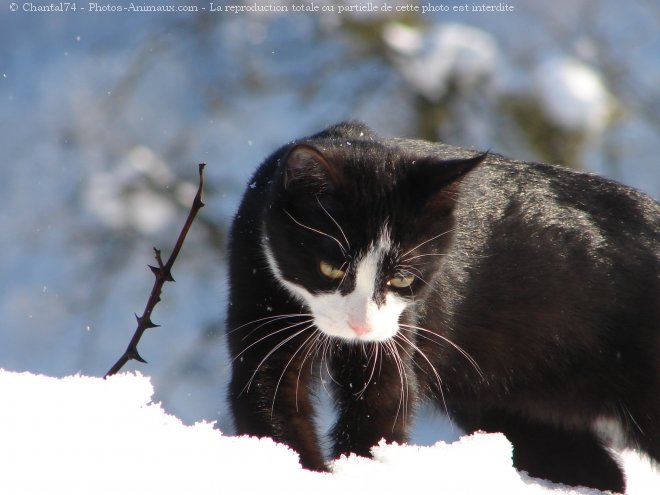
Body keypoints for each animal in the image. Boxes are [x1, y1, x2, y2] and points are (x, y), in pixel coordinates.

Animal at [224, 122, 656, 494]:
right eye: (332, 267)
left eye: (401, 279)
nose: (361, 325)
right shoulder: (258, 303)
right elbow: (269, 397)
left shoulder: (396, 338)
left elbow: (381, 410)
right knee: (593, 466)